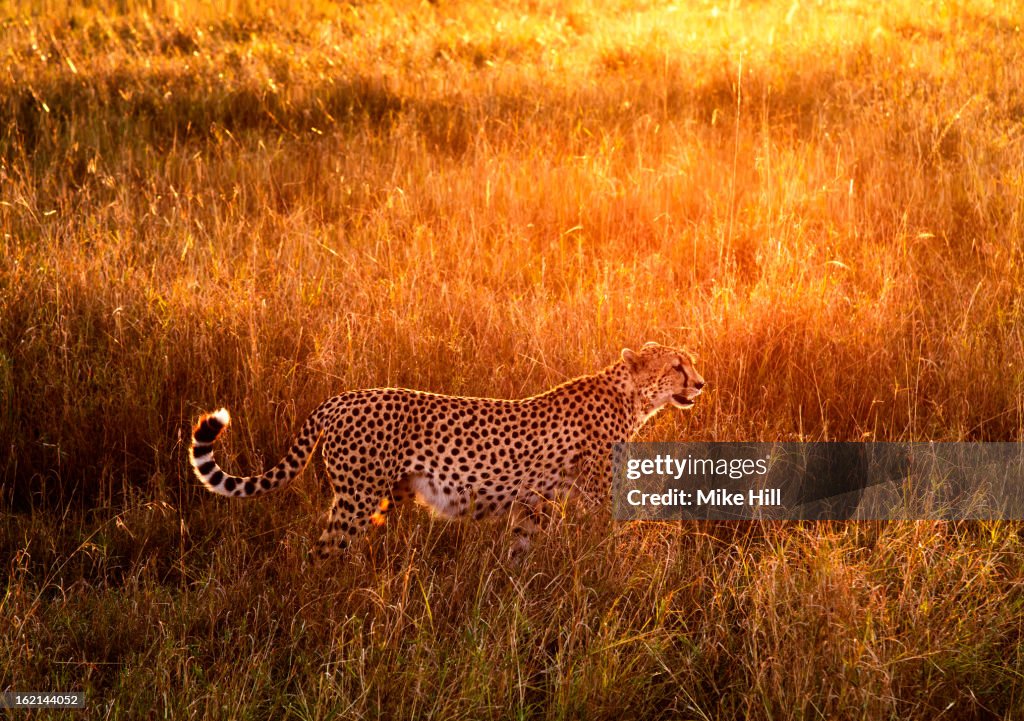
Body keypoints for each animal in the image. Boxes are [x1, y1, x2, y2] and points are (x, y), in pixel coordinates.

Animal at [190, 342, 704, 557]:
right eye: (677, 366)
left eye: (690, 363)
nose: (700, 383)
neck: (631, 397)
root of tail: (342, 397)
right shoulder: (595, 498)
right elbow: (616, 542)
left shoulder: (534, 503)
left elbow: (520, 551)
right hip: (356, 498)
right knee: (322, 553)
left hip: (383, 496)